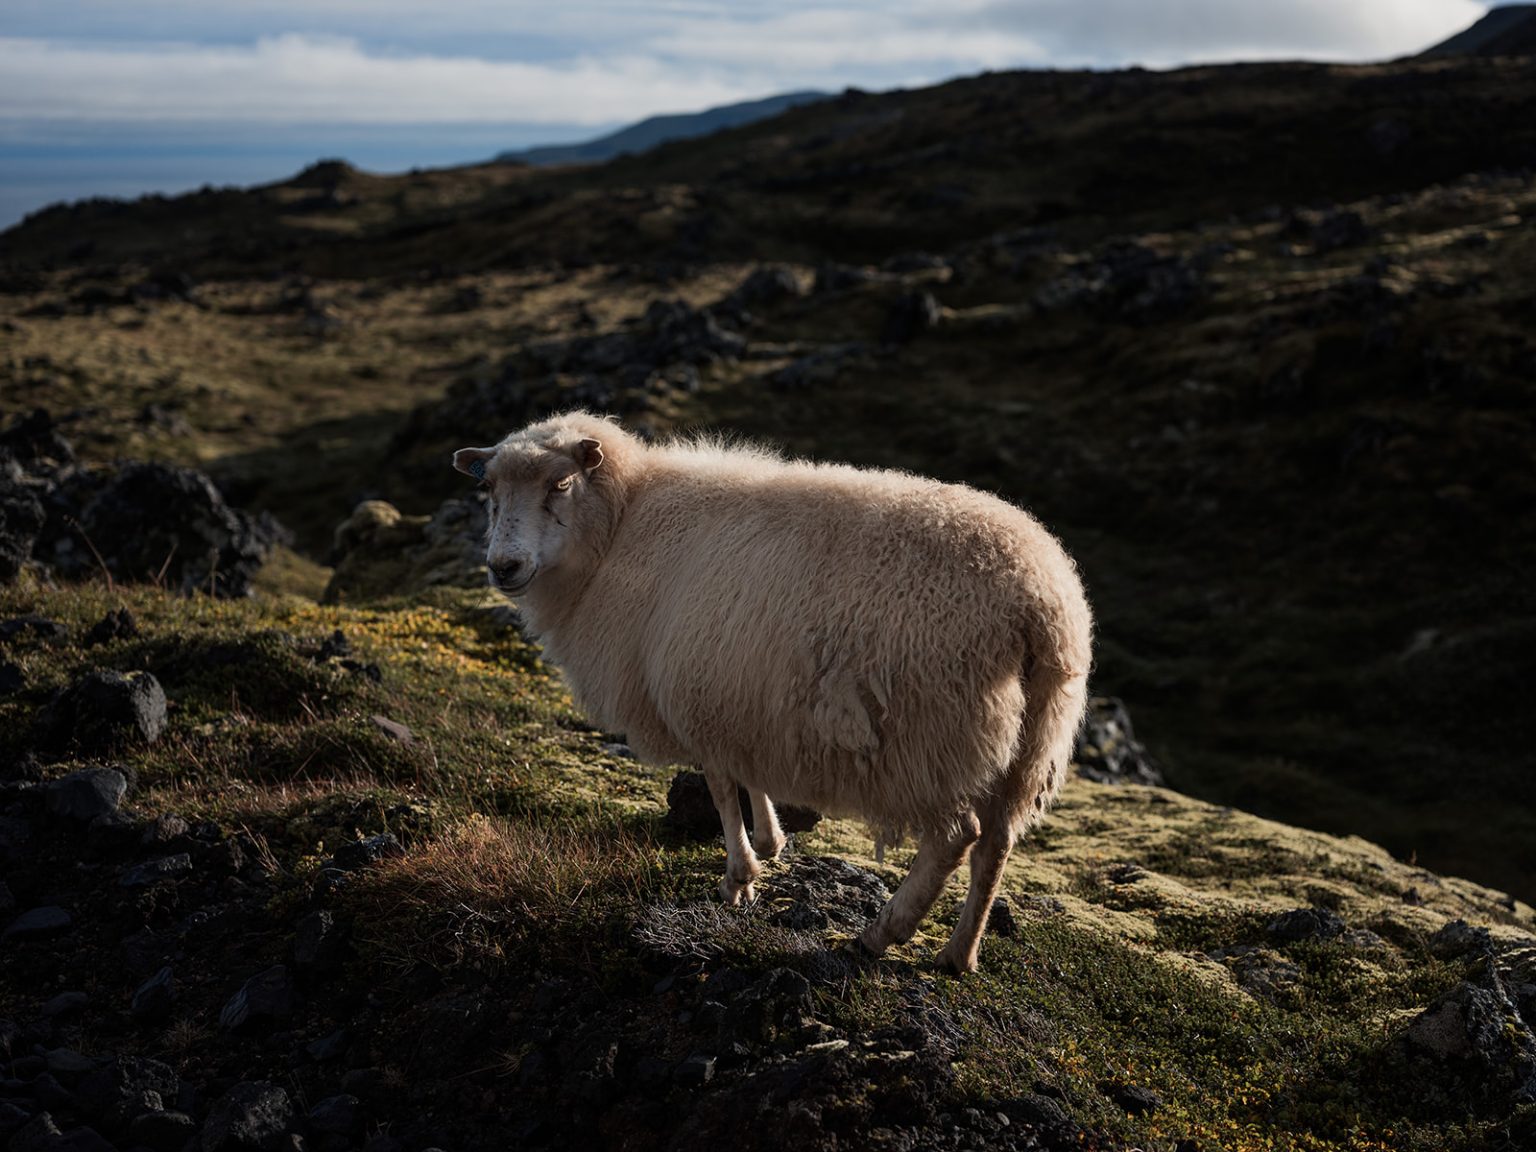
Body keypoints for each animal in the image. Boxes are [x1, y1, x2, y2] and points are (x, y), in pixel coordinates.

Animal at [453, 411, 1092, 973]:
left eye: (560, 484)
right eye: (487, 489)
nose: (503, 567)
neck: (624, 524)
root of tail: (1039, 604)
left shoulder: (696, 695)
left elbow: (719, 787)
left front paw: (739, 877)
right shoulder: (740, 693)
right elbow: (749, 773)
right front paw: (770, 842)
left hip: (934, 737)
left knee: (956, 839)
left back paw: (884, 932)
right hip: (1033, 740)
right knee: (997, 845)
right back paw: (959, 954)